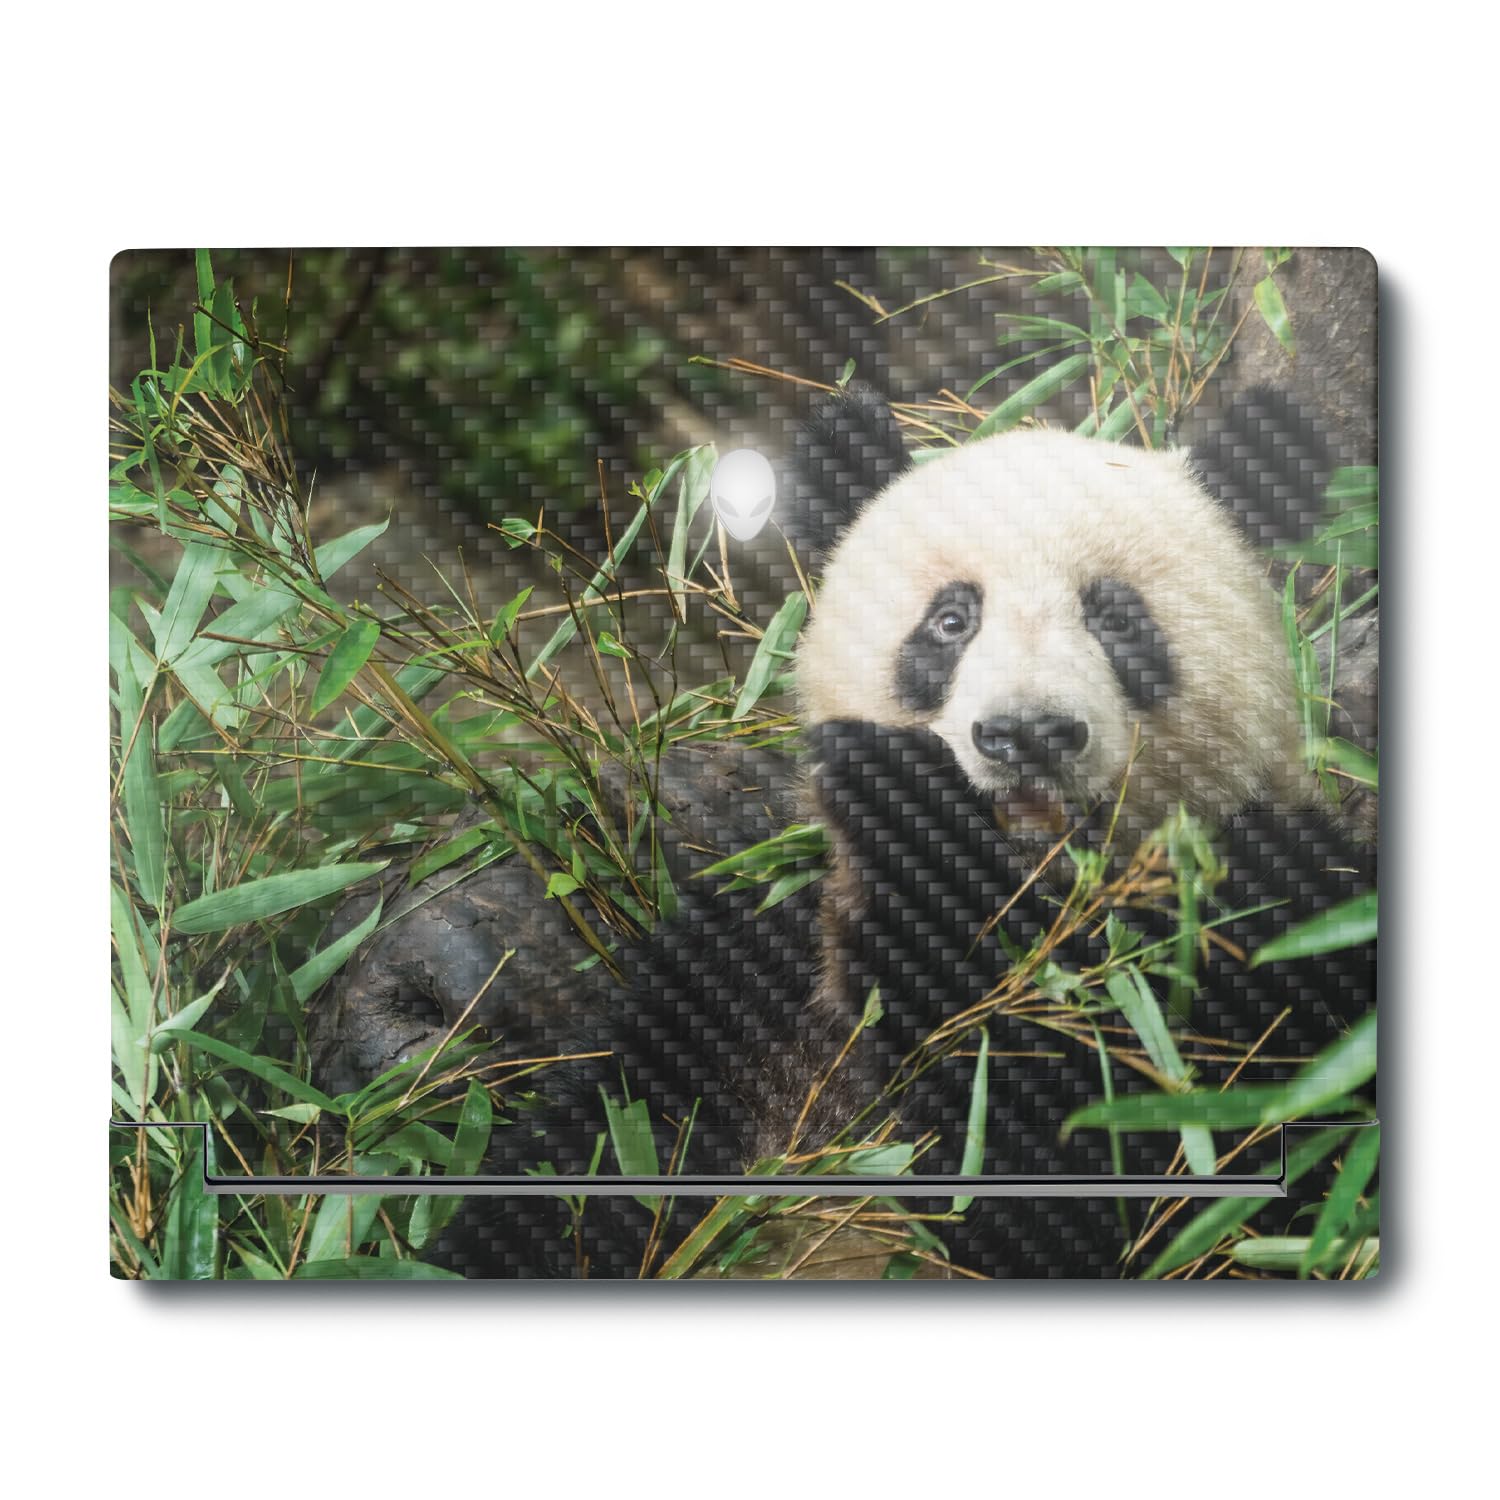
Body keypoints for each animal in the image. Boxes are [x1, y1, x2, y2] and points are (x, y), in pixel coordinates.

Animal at [397, 386, 1377, 1278]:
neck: (1039, 879)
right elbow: (611, 1144)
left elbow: (1109, 1172)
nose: (1026, 735)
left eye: (1115, 617)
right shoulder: (761, 955)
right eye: (951, 619)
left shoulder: (1264, 929)